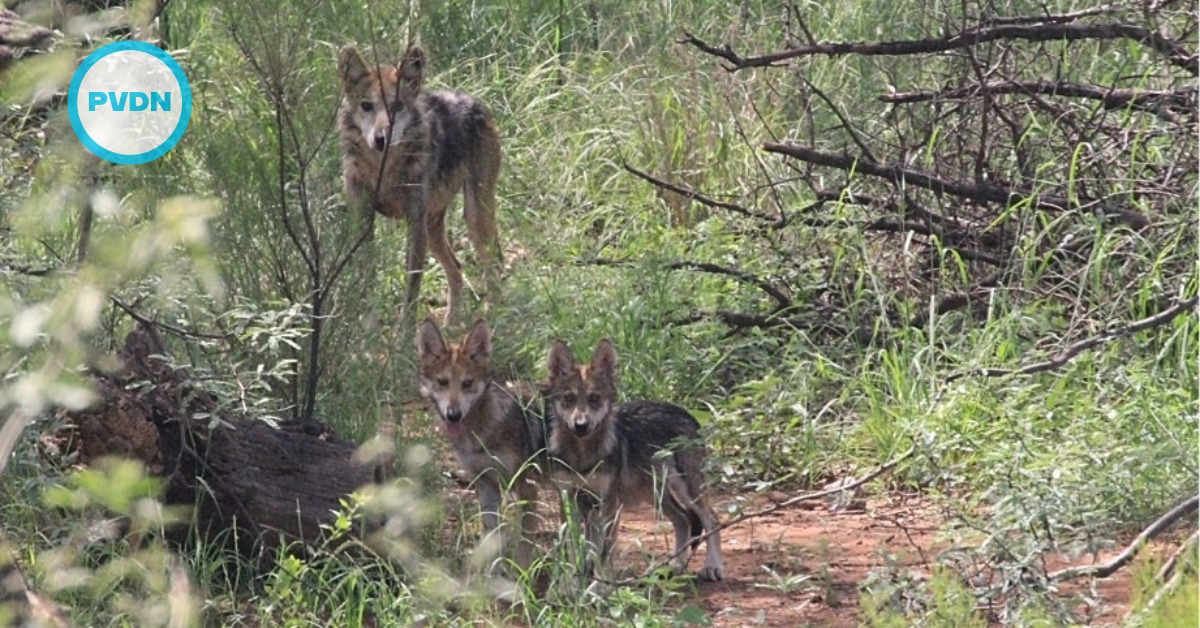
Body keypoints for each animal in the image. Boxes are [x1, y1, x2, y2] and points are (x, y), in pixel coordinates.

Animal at [339, 44, 502, 324]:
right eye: (366, 106)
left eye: (397, 106)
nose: (381, 138)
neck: (385, 172)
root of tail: (475, 101)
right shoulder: (363, 222)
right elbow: (366, 281)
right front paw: (368, 327)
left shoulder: (414, 223)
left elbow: (412, 286)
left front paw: (405, 332)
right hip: (434, 227)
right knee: (457, 267)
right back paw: (451, 324)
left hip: (473, 217)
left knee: (495, 265)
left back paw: (497, 316)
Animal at [415, 318, 546, 570]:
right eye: (442, 382)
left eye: (467, 383)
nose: (453, 415)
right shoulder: (485, 484)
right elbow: (492, 538)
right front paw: (493, 575)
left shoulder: (527, 487)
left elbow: (524, 548)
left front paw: (523, 579)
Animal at [544, 339, 726, 581]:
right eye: (569, 398)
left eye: (594, 399)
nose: (581, 425)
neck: (582, 455)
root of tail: (685, 412)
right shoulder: (571, 500)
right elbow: (577, 548)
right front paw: (574, 581)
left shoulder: (608, 505)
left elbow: (602, 554)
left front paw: (598, 586)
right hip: (655, 494)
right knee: (683, 519)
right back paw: (675, 566)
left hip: (687, 489)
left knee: (711, 519)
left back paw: (713, 567)